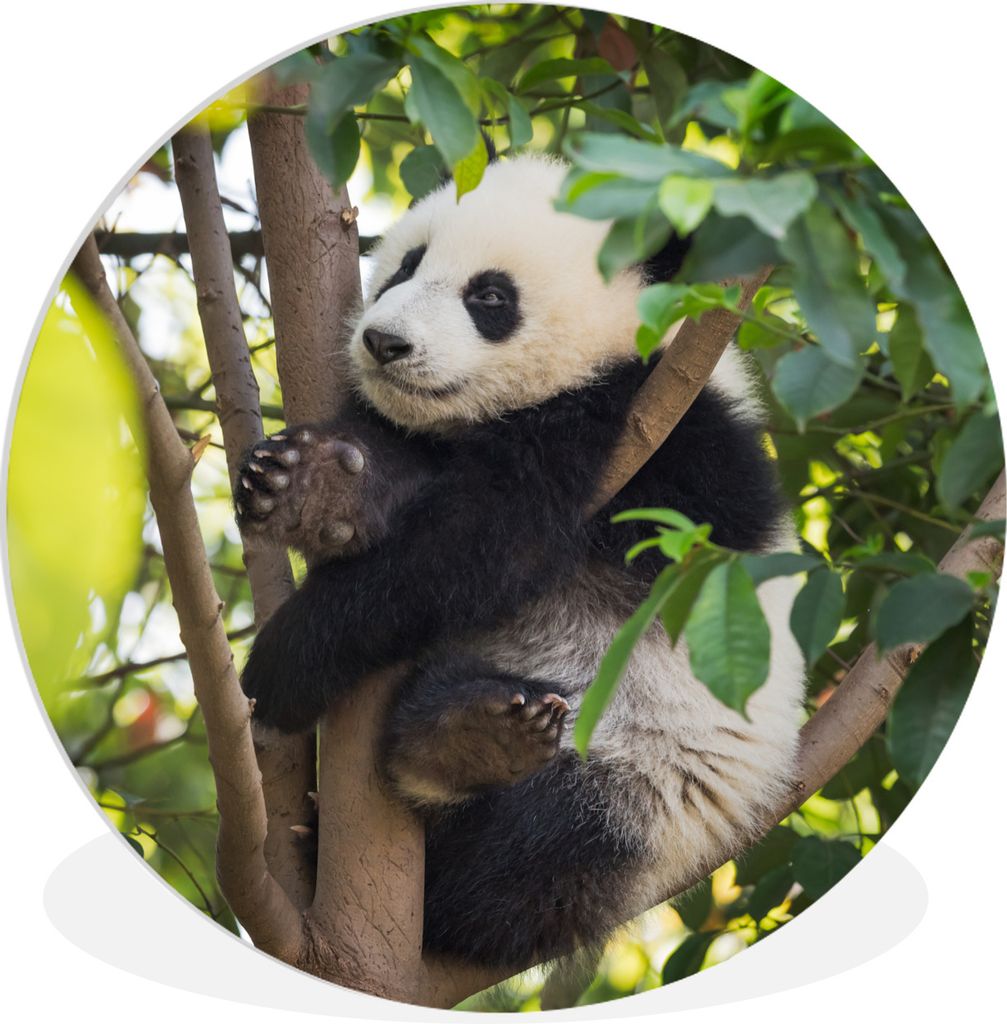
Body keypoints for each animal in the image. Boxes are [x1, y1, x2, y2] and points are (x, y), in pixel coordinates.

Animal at [235, 154, 806, 971]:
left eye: (490, 297)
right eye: (406, 265)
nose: (383, 342)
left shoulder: (647, 430)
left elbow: (477, 546)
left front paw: (284, 663)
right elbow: (422, 480)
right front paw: (314, 486)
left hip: (648, 783)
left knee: (524, 859)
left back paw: (462, 750)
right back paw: (465, 728)